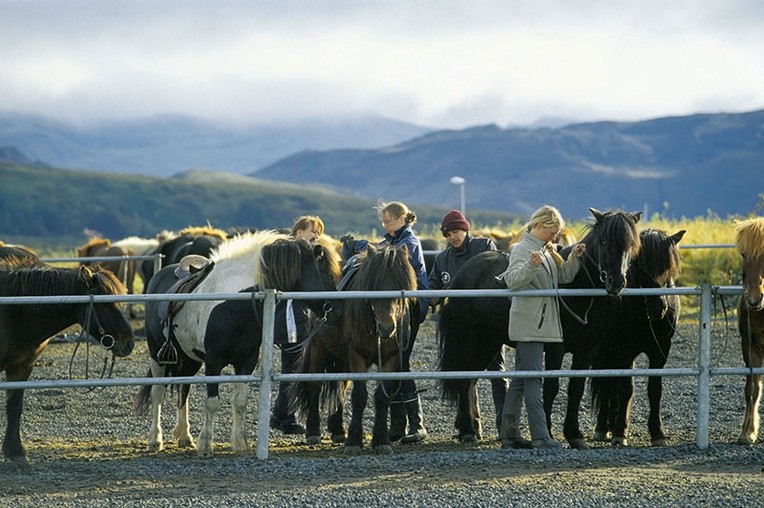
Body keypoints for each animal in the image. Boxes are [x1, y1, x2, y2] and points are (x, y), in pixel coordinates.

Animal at [0, 260, 135, 462]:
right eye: (106, 304)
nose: (129, 343)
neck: (15, 312)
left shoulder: (21, 366)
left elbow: (15, 407)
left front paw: (15, 451)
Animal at [135, 230, 340, 456]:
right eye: (327, 273)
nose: (335, 308)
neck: (233, 303)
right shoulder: (213, 361)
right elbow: (212, 402)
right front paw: (206, 445)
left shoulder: (246, 361)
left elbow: (240, 401)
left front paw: (240, 443)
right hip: (157, 355)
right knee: (158, 393)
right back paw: (155, 440)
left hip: (190, 359)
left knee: (184, 391)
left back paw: (185, 437)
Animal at [290, 244, 418, 454]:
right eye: (374, 285)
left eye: (402, 284)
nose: (387, 328)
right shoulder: (357, 356)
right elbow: (359, 397)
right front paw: (354, 441)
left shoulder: (391, 358)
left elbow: (381, 397)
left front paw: (381, 440)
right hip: (319, 351)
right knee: (315, 387)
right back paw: (313, 431)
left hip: (343, 360)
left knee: (341, 388)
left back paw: (338, 430)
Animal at [436, 208, 644, 446]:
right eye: (604, 241)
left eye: (631, 244)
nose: (616, 283)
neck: (577, 288)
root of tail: (460, 276)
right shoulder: (556, 348)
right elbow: (551, 388)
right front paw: (549, 433)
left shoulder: (587, 350)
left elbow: (576, 388)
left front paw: (574, 434)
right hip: (471, 342)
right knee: (463, 380)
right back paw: (469, 432)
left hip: (488, 344)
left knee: (470, 381)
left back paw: (470, 430)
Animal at [592, 228, 688, 446]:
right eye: (642, 267)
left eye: (670, 268)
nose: (659, 308)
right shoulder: (624, 350)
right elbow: (626, 389)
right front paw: (620, 432)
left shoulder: (660, 351)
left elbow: (654, 390)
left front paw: (657, 433)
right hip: (606, 352)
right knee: (607, 383)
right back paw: (603, 427)